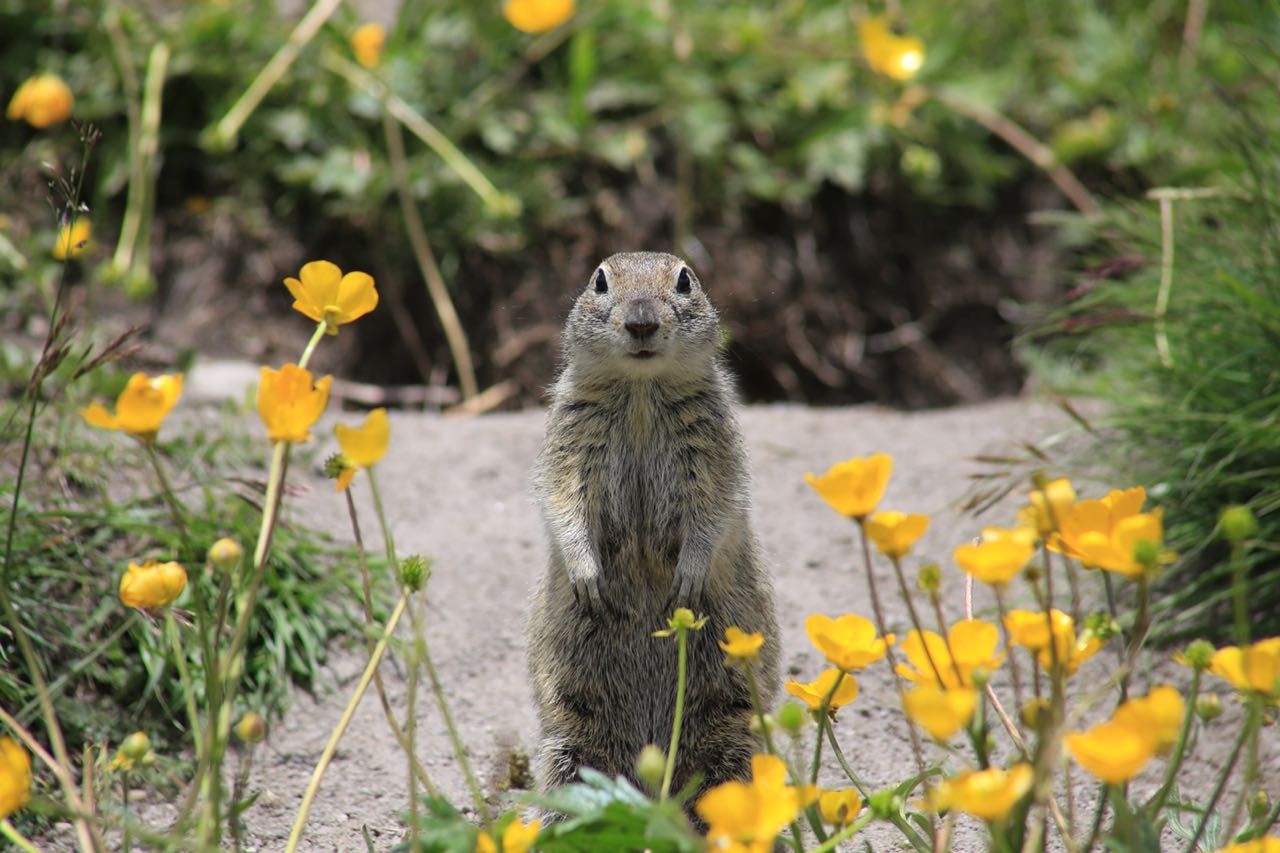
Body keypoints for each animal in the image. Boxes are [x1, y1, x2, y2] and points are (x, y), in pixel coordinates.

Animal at [522, 249, 778, 809]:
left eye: (684, 281)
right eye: (599, 281)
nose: (641, 322)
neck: (640, 389)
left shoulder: (713, 446)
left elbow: (713, 512)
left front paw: (688, 578)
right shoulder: (570, 438)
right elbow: (563, 502)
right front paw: (587, 577)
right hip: (573, 740)